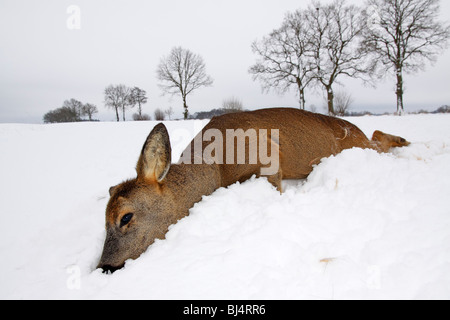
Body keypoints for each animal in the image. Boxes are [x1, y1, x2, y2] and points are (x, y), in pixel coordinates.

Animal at [98, 108, 412, 272]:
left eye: (125, 217)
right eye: (103, 221)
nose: (105, 267)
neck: (217, 166)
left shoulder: (269, 157)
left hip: (359, 145)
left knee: (378, 140)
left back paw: (404, 141)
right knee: (377, 134)